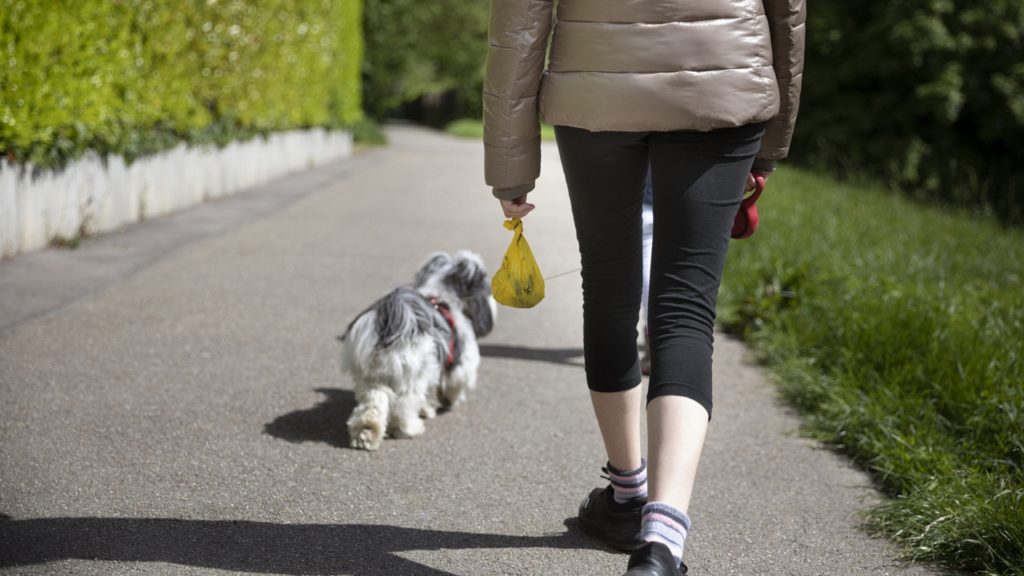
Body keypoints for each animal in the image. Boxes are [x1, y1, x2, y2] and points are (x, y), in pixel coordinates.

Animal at [339, 251, 495, 448]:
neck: (442, 297)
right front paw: (449, 401)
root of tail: (391, 325)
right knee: (403, 408)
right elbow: (455, 383)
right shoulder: (462, 363)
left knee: (372, 405)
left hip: (372, 379)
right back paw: (409, 429)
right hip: (411, 378)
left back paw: (365, 434)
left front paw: (428, 408)